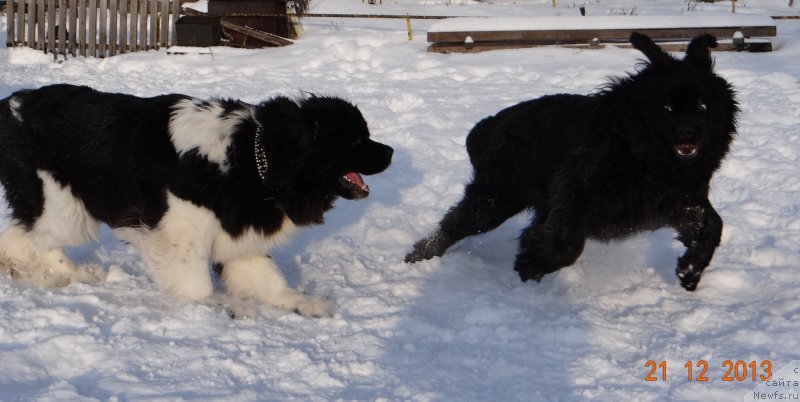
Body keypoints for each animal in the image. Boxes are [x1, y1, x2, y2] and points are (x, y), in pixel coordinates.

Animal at [0, 84, 394, 318]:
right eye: (355, 140)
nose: (390, 151)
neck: (254, 158)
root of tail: (14, 101)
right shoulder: (181, 231)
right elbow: (198, 285)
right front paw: (219, 306)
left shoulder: (239, 229)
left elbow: (268, 280)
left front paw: (304, 304)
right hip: (62, 204)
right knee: (42, 241)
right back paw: (69, 274)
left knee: (22, 235)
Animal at [406, 33, 736, 290]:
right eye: (666, 108)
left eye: (702, 106)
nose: (687, 133)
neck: (640, 154)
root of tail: (491, 123)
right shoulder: (575, 186)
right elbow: (568, 243)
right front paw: (532, 262)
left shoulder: (679, 200)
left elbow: (713, 224)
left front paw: (690, 269)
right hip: (497, 197)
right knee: (453, 224)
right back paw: (418, 258)